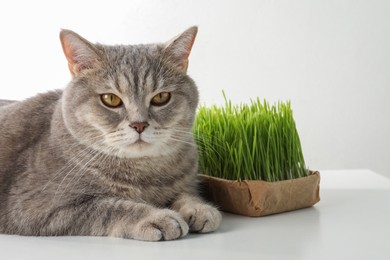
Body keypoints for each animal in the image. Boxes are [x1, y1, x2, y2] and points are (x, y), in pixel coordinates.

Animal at [0, 26, 221, 242]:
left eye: (161, 97)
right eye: (111, 99)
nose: (139, 124)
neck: (144, 172)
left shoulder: (186, 181)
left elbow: (186, 193)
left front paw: (199, 208)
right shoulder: (38, 209)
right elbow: (111, 207)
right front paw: (157, 216)